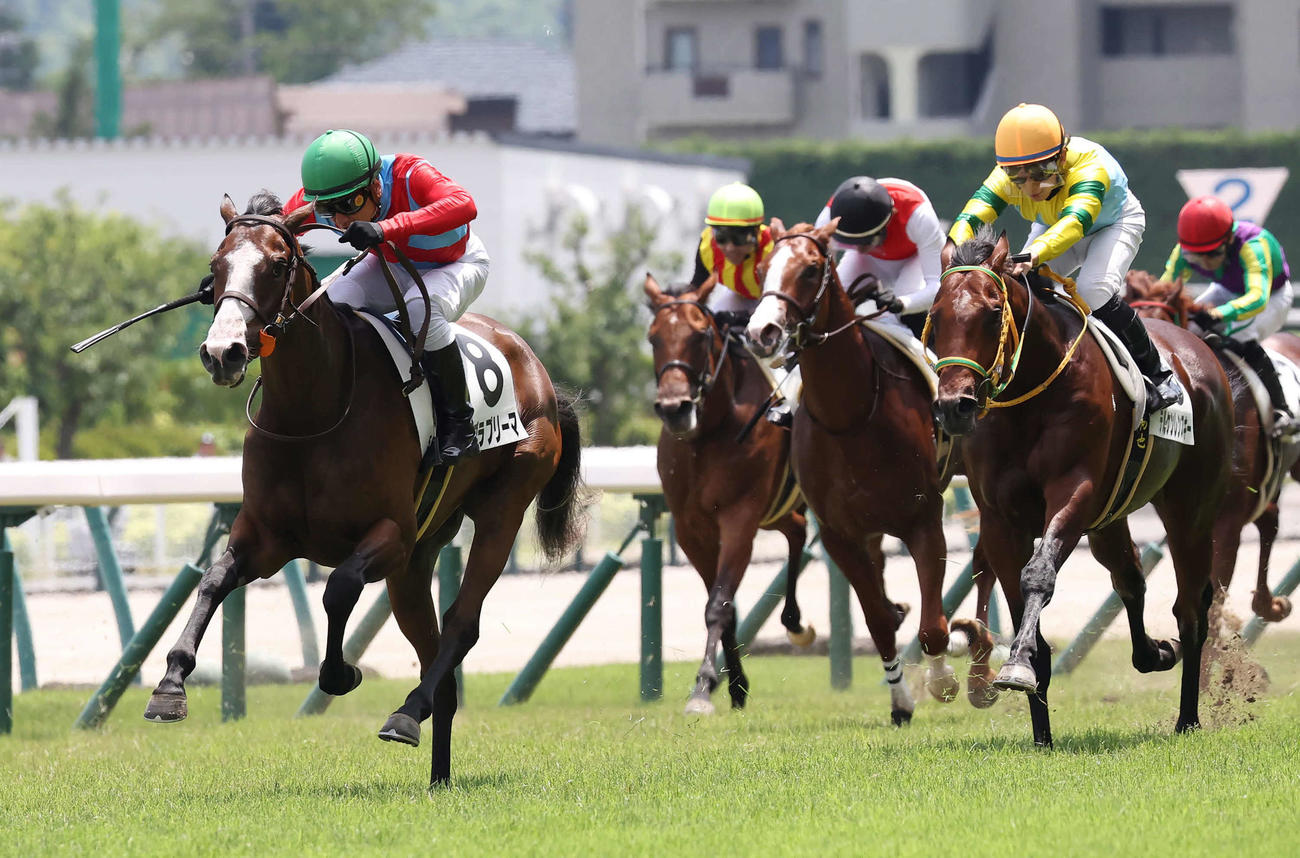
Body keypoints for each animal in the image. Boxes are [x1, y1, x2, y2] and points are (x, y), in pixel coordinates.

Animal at [145, 193, 588, 788]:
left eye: (277, 265)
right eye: (216, 266)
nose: (224, 352)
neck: (314, 412)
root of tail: (537, 370)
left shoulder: (390, 535)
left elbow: (340, 588)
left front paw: (340, 674)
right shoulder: (266, 537)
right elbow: (213, 581)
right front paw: (170, 686)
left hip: (501, 510)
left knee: (461, 624)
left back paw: (406, 713)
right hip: (419, 556)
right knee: (436, 658)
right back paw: (437, 772)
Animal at [645, 273, 815, 716]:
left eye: (701, 334)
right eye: (653, 337)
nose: (675, 408)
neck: (708, 434)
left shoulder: (740, 517)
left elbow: (718, 605)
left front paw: (704, 687)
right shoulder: (691, 528)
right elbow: (723, 604)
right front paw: (735, 686)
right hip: (779, 510)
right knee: (797, 530)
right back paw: (794, 621)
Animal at [745, 219, 967, 725]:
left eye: (810, 270)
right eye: (763, 269)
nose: (761, 331)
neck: (851, 416)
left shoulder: (925, 519)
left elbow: (933, 624)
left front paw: (942, 681)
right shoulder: (838, 535)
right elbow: (879, 620)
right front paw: (900, 701)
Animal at [929, 229, 1234, 745]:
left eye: (992, 311)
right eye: (935, 317)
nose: (955, 406)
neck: (1029, 396)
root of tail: (1197, 349)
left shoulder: (1075, 493)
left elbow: (1038, 575)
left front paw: (1016, 668)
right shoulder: (999, 519)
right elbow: (1021, 605)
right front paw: (1040, 734)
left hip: (1190, 508)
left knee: (1191, 607)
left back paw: (1187, 718)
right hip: (1111, 517)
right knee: (1129, 576)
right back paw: (1154, 653)